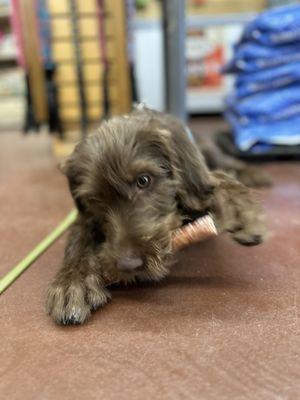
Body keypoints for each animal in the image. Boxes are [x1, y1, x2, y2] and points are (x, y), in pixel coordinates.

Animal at [45, 107, 266, 324]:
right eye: (95, 198)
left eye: (143, 180)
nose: (128, 264)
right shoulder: (85, 215)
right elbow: (79, 235)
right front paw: (73, 281)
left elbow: (211, 182)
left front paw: (236, 202)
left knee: (226, 161)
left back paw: (250, 173)